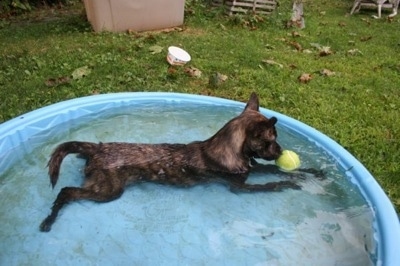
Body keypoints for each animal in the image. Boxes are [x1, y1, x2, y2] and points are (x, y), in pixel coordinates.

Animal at [39, 92, 300, 232]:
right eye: (271, 140)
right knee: (66, 191)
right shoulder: (239, 186)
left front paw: (303, 173)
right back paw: (49, 219)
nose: (281, 151)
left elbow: (274, 171)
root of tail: (98, 148)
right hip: (108, 191)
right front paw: (286, 184)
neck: (229, 148)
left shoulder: (251, 170)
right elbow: (268, 185)